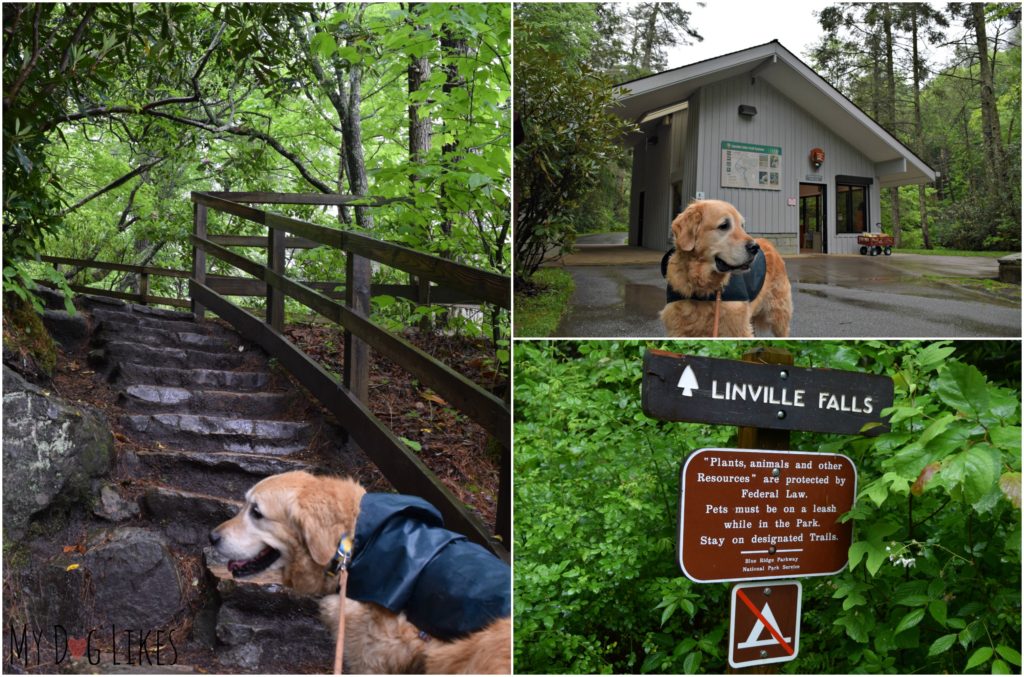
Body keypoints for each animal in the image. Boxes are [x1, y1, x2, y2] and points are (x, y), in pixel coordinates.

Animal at [659, 199, 794, 337]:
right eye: (724, 225)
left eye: (742, 226)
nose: (755, 247)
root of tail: (769, 244)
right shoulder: (678, 328)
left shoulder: (738, 327)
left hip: (778, 314)